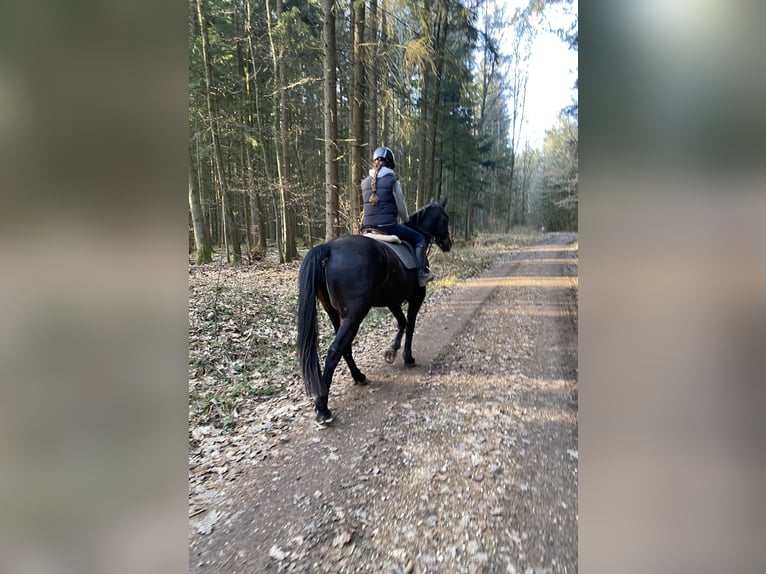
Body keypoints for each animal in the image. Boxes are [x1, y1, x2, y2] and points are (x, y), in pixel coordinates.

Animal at [296, 197, 452, 425]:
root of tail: (329, 248)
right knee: (335, 350)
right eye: (445, 218)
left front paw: (392, 351)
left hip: (335, 314)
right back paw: (323, 407)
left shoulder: (392, 300)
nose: (448, 243)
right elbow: (410, 325)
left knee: (345, 348)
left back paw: (359, 377)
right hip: (354, 315)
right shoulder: (416, 298)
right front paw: (407, 357)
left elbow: (402, 322)